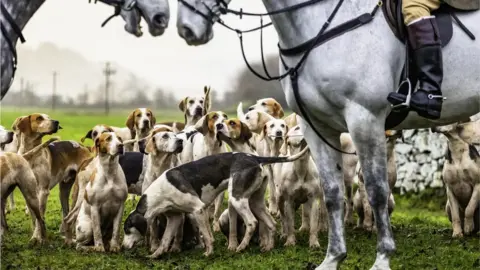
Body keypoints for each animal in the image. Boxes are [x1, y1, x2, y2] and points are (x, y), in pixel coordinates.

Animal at [176, 0, 480, 270]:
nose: (187, 28)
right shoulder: (318, 128)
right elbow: (332, 193)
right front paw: (333, 258)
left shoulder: (364, 118)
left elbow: (377, 192)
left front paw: (382, 258)